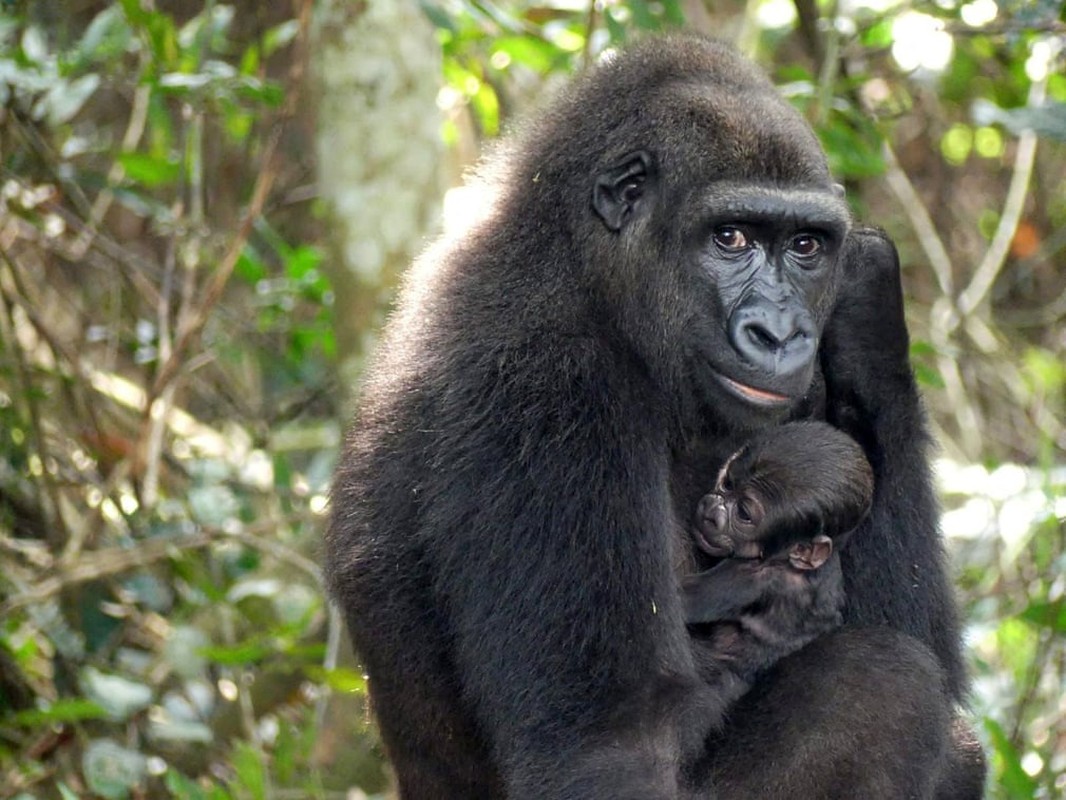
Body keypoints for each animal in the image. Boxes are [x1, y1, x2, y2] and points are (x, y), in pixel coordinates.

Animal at [324, 32, 980, 800]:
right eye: (730, 238)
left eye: (806, 246)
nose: (780, 334)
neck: (581, 268)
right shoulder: (543, 387)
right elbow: (608, 751)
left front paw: (869, 312)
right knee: (884, 684)